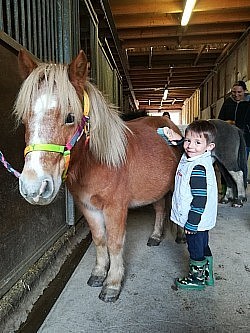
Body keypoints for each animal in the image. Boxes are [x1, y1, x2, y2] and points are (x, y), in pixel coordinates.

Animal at [13, 48, 182, 300]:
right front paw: (99, 273)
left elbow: (114, 242)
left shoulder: (115, 208)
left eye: (70, 117)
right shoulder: (88, 207)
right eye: (25, 118)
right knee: (160, 208)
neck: (99, 163)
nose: (34, 187)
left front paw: (112, 283)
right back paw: (154, 236)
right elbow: (100, 240)